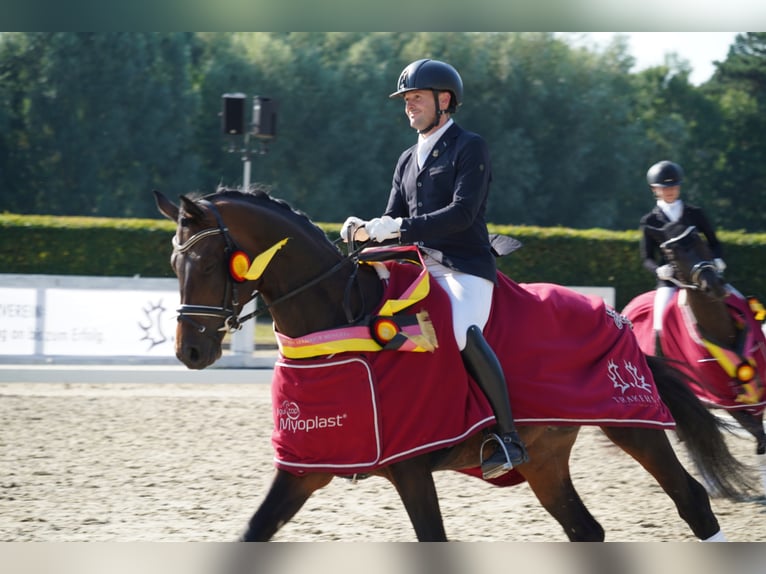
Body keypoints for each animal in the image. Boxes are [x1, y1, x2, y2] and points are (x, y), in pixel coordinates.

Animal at [624, 223, 766, 492]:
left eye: (700, 240)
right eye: (670, 254)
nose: (715, 285)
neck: (722, 332)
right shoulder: (725, 400)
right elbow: (759, 437)